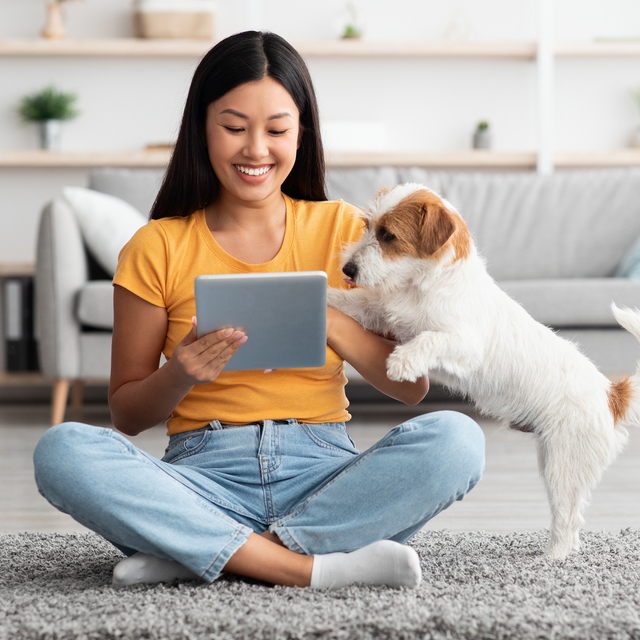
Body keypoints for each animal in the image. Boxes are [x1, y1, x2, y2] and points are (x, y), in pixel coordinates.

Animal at [330, 181, 640, 560]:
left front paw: (402, 362)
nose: (347, 269)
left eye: (388, 235)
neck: (422, 285)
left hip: (562, 467)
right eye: (367, 226)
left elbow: (430, 338)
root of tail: (611, 394)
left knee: (569, 520)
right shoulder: (381, 314)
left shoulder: (463, 343)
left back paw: (552, 557)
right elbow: (349, 304)